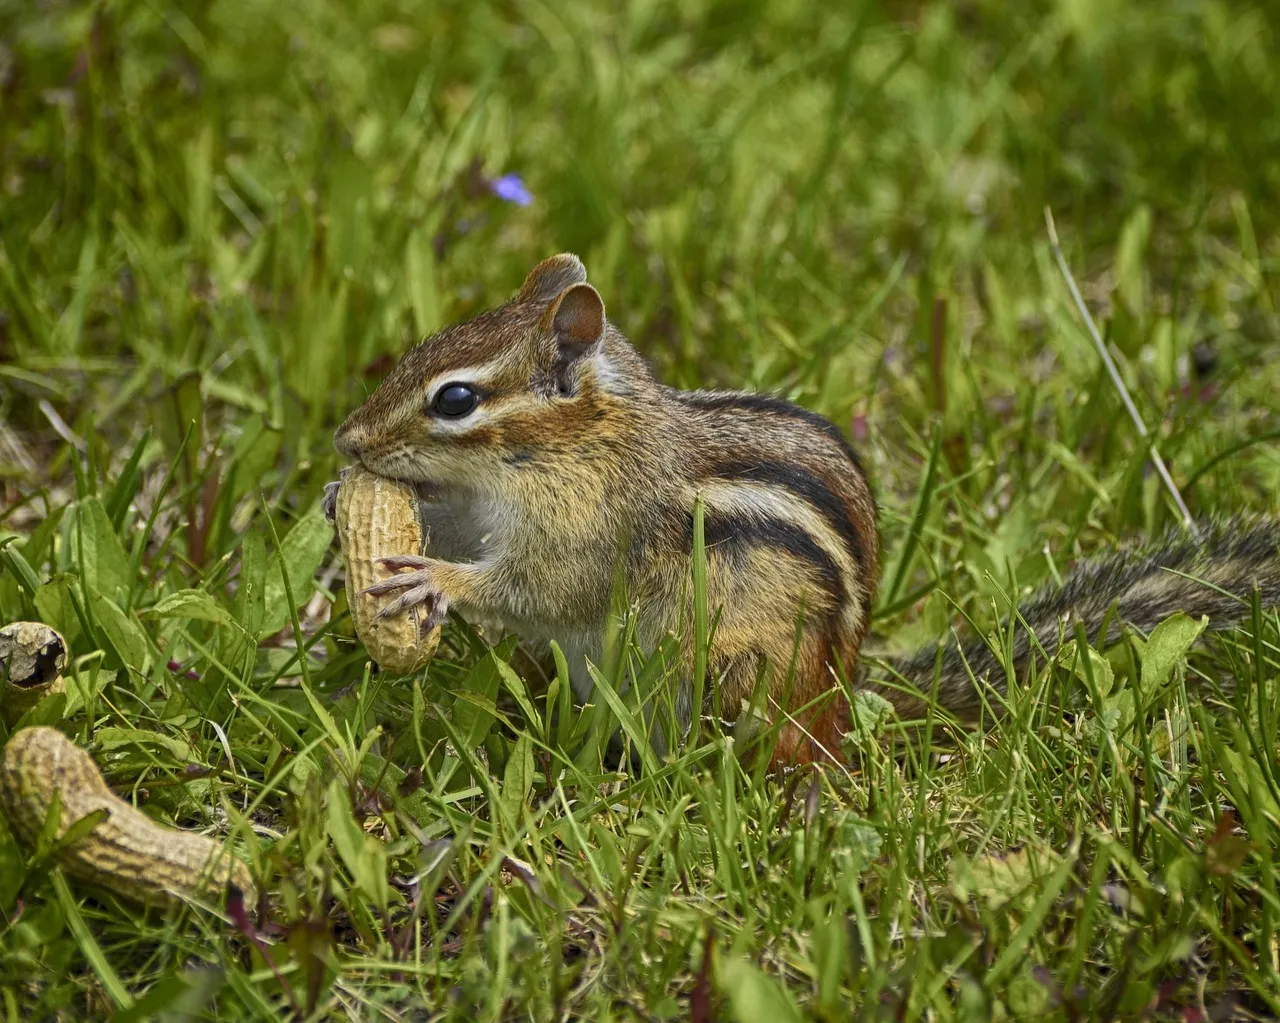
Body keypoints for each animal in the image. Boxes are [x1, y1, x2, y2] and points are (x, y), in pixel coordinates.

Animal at [330, 253, 1280, 770]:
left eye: (454, 399)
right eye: (422, 349)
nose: (346, 438)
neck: (580, 443)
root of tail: (845, 693)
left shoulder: (597, 530)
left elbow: (543, 588)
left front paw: (434, 579)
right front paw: (359, 505)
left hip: (732, 673)